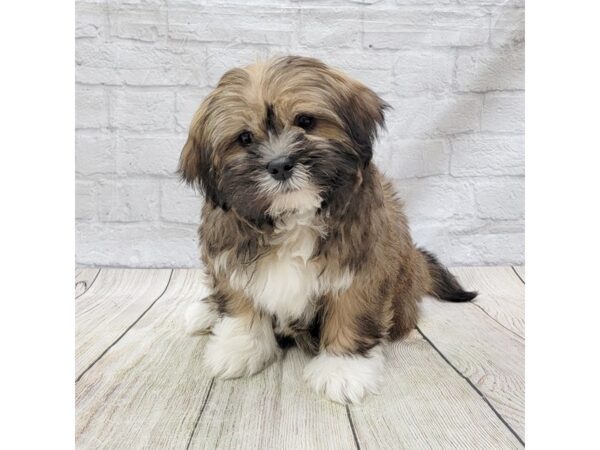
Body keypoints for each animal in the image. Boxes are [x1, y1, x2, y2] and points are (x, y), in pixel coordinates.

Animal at [180, 56, 476, 404]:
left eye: (306, 121)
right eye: (244, 138)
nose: (280, 165)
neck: (294, 216)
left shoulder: (363, 266)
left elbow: (351, 312)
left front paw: (343, 368)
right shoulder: (229, 257)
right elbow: (240, 305)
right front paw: (238, 348)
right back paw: (206, 311)